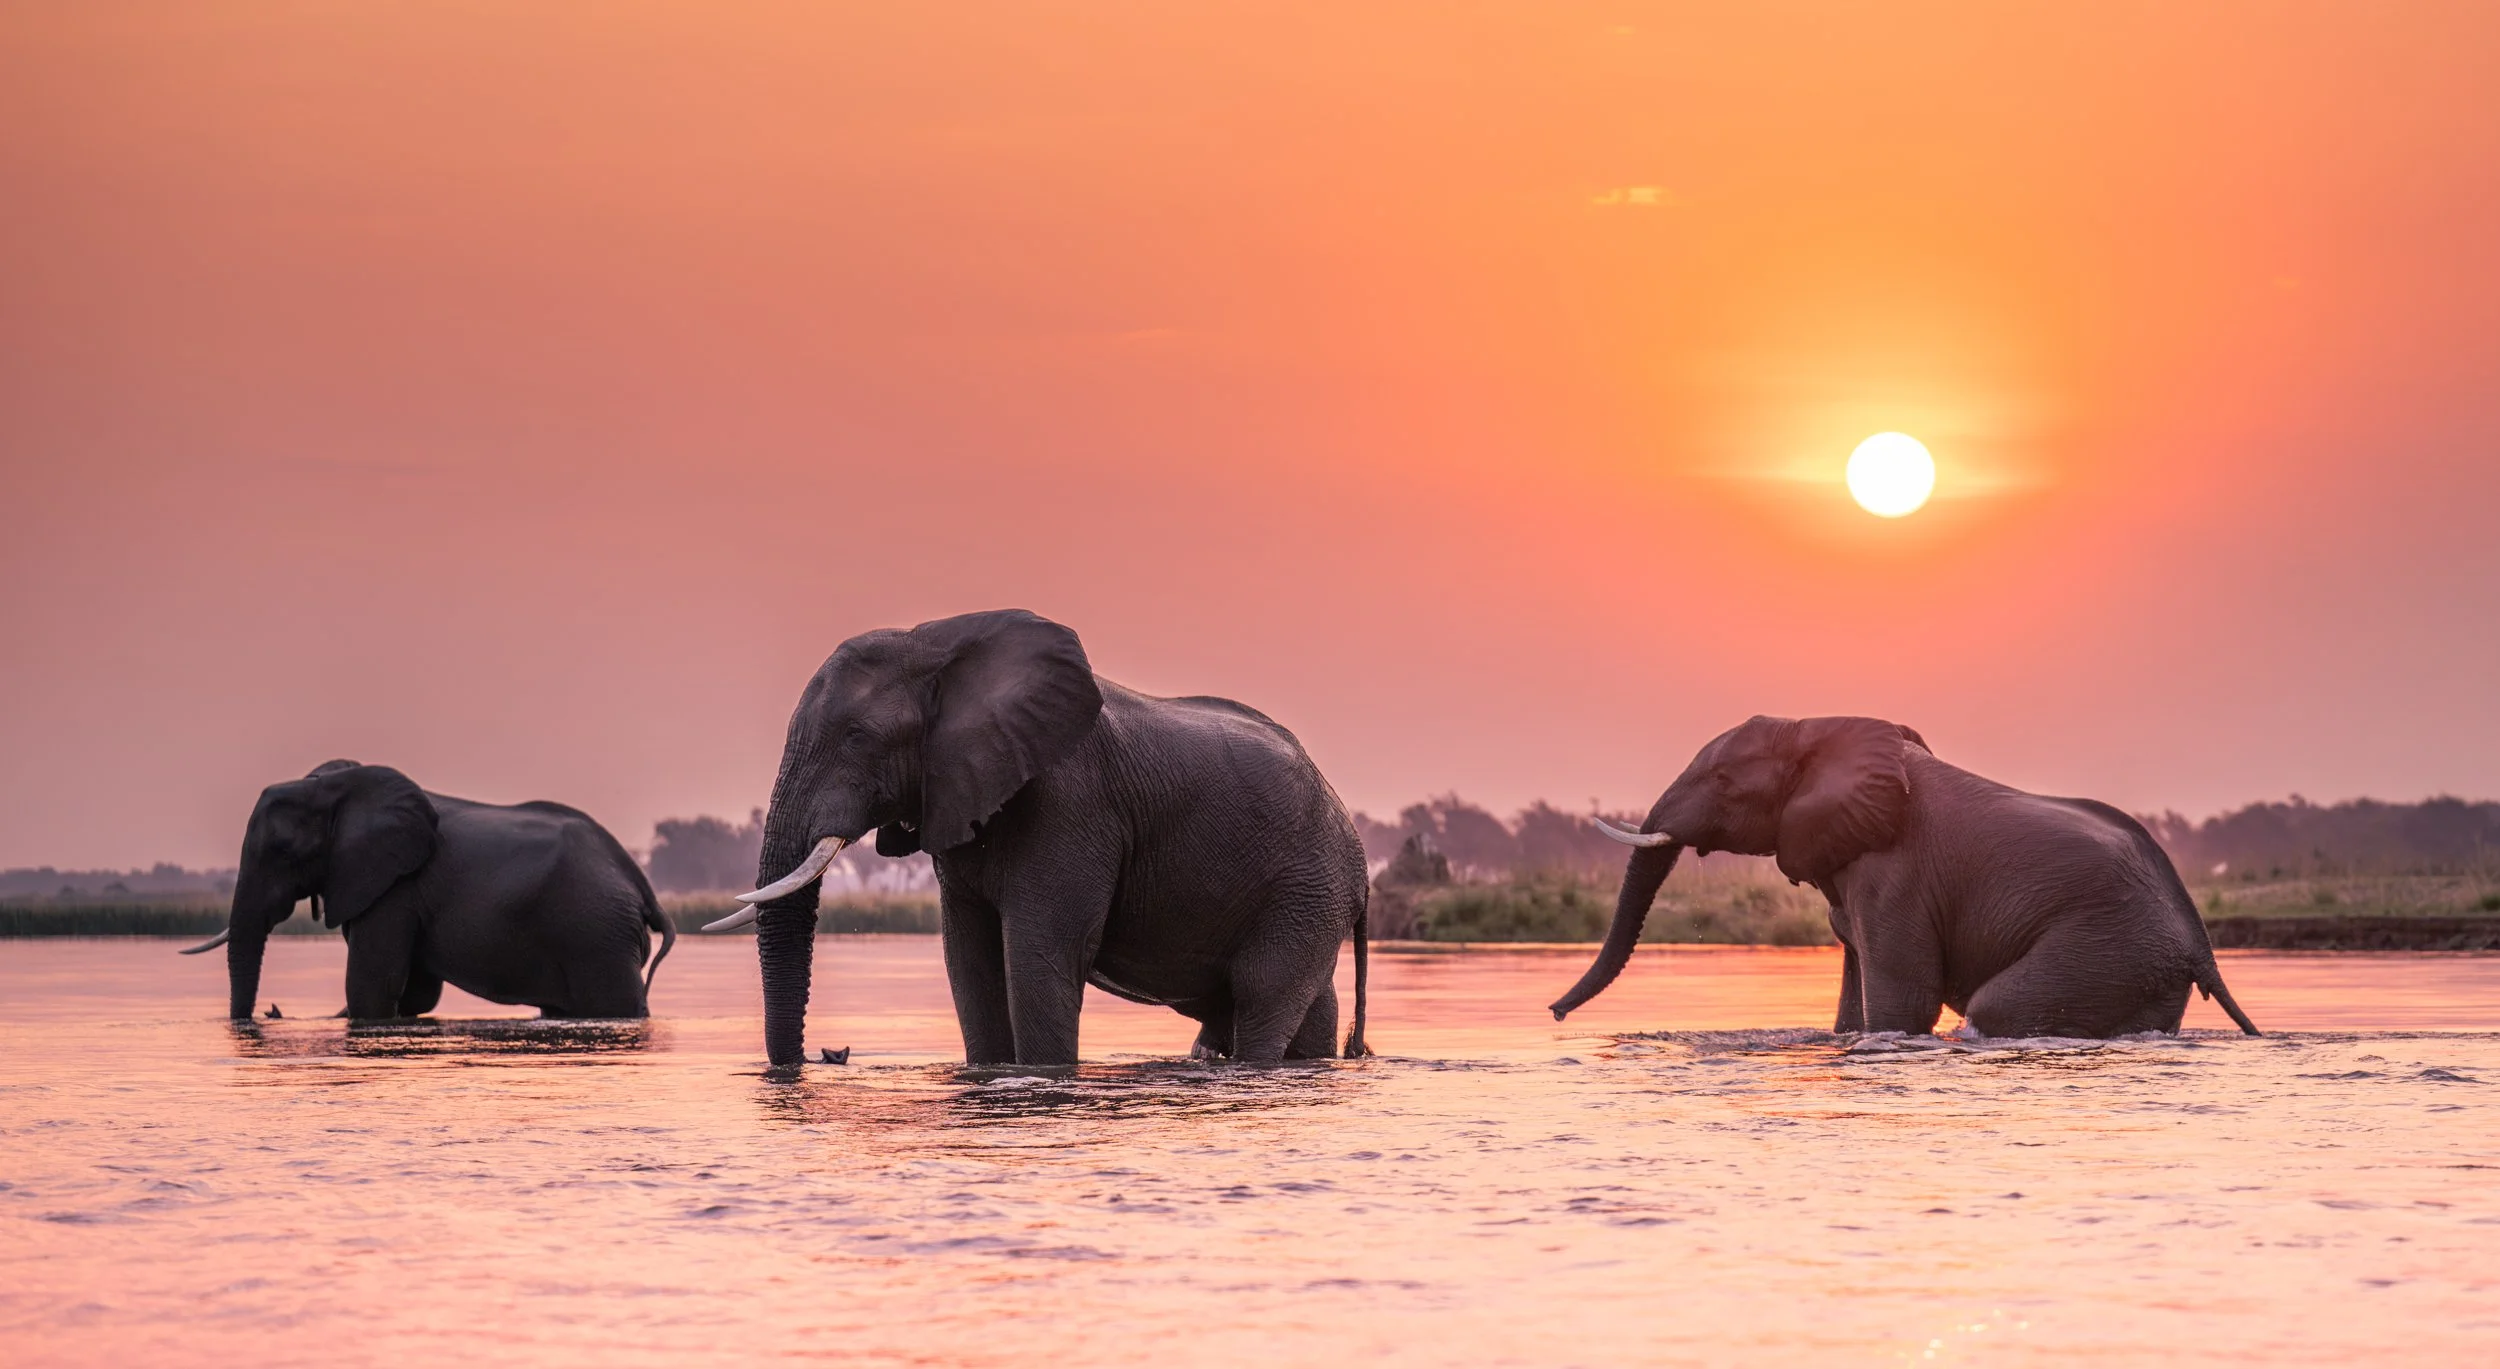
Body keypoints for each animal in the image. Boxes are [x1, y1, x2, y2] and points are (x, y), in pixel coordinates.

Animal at [182, 760, 674, 1020]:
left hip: (596, 931)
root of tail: (641, 885)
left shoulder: (396, 886)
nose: (272, 1011)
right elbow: (414, 993)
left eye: (283, 851)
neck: (335, 787)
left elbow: (373, 987)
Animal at [712, 608, 1370, 1069]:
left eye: (856, 736)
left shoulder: (1069, 804)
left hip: (1304, 890)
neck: (937, 647)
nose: (832, 1054)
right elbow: (970, 961)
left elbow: (1038, 955)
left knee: (1262, 997)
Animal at [1549, 716, 2259, 1039]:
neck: (1816, 728)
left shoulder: (1895, 872)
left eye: (1722, 779)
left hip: (2108, 946)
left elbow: (1904, 1003)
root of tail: (2201, 945)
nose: (1553, 1013)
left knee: (1996, 1007)